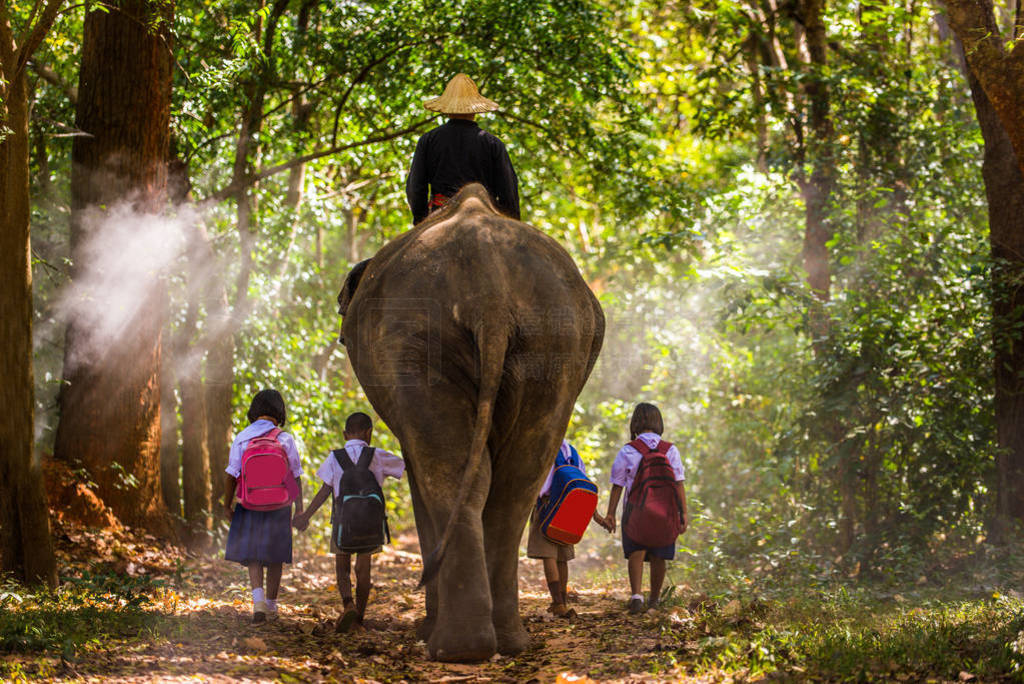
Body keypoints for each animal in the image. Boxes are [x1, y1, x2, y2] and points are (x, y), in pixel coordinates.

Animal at [335, 183, 606, 663]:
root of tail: (489, 292)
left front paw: (425, 628)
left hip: (417, 341)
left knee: (447, 471)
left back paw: (452, 647)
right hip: (553, 343)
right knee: (514, 480)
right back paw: (504, 642)